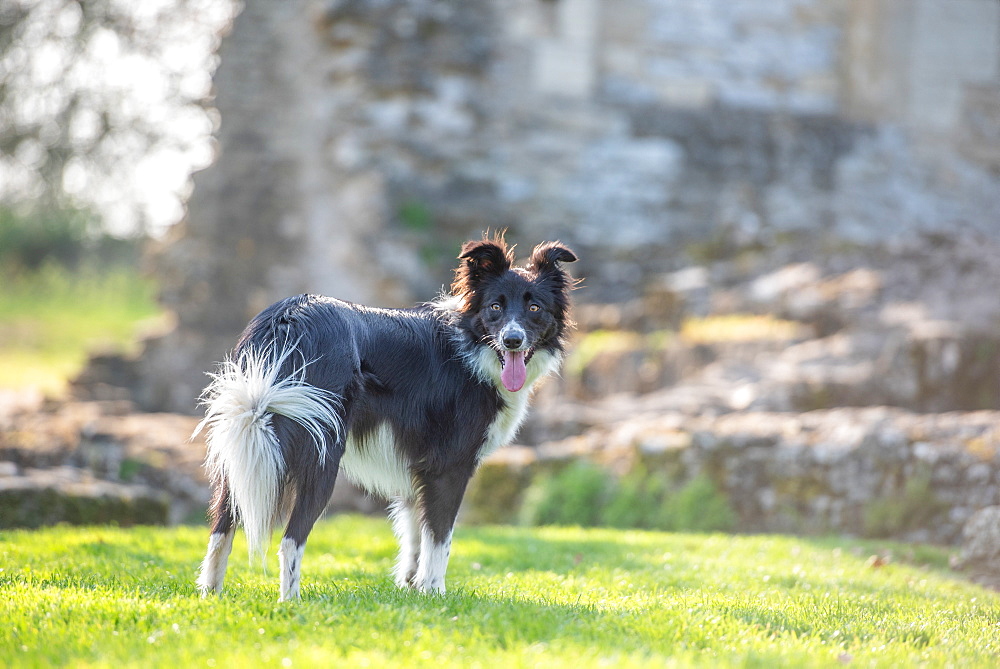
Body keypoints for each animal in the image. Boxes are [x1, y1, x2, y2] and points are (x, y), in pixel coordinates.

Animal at [193, 234, 580, 600]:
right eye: (495, 307)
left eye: (534, 307)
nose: (512, 340)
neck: (473, 346)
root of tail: (288, 318)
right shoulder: (449, 466)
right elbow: (440, 538)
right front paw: (435, 592)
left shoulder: (415, 469)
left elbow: (415, 532)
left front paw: (410, 587)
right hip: (321, 453)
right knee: (291, 539)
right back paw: (292, 602)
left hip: (247, 444)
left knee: (221, 527)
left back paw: (210, 594)